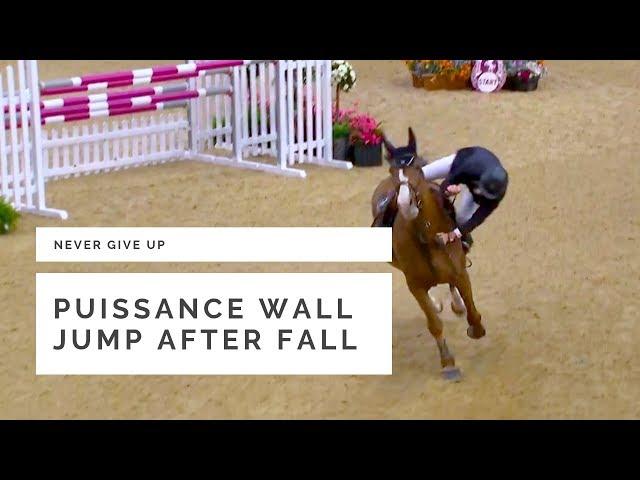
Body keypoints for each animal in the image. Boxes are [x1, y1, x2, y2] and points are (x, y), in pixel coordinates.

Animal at [370, 128, 484, 382]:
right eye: (393, 171)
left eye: (418, 168)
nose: (405, 203)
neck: (427, 236)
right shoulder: (415, 285)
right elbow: (434, 323)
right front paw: (448, 363)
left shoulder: (460, 272)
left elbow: (472, 311)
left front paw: (475, 326)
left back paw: (457, 305)